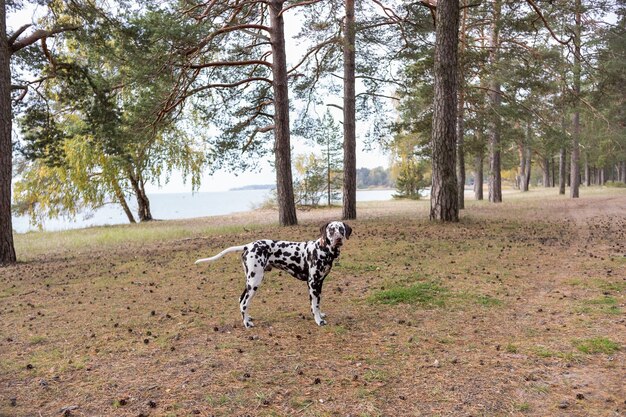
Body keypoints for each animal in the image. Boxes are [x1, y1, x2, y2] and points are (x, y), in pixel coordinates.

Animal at [195, 221, 352, 328]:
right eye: (331, 230)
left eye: (341, 230)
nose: (338, 239)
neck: (322, 249)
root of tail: (248, 246)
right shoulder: (312, 283)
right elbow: (314, 305)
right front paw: (318, 320)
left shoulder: (319, 283)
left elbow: (318, 303)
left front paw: (321, 314)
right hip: (255, 281)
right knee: (244, 302)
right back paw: (246, 324)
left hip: (250, 281)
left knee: (241, 300)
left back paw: (247, 318)